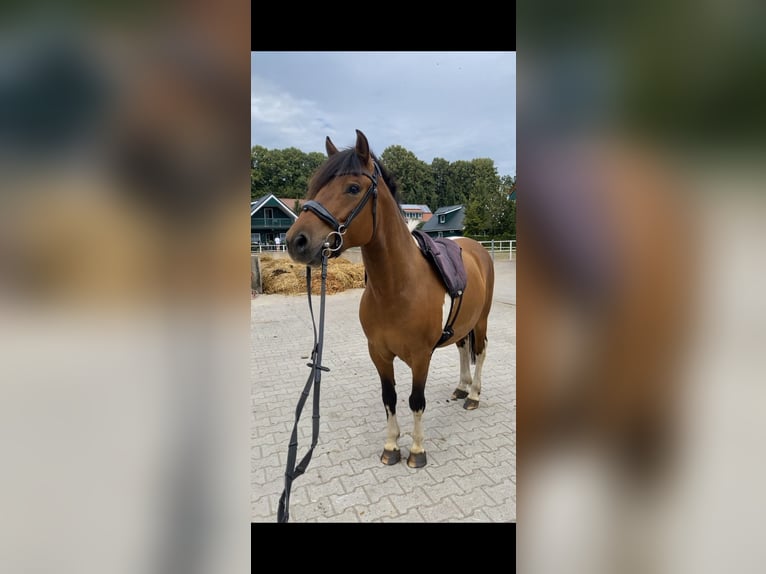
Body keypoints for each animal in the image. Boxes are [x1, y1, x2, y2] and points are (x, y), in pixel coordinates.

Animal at [284, 129, 496, 468]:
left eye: (353, 188)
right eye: (315, 186)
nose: (296, 241)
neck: (397, 287)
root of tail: (476, 248)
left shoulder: (421, 357)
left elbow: (416, 400)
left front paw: (417, 451)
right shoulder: (379, 354)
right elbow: (390, 398)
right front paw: (391, 446)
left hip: (483, 319)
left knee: (481, 350)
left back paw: (474, 395)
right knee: (463, 348)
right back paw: (462, 389)